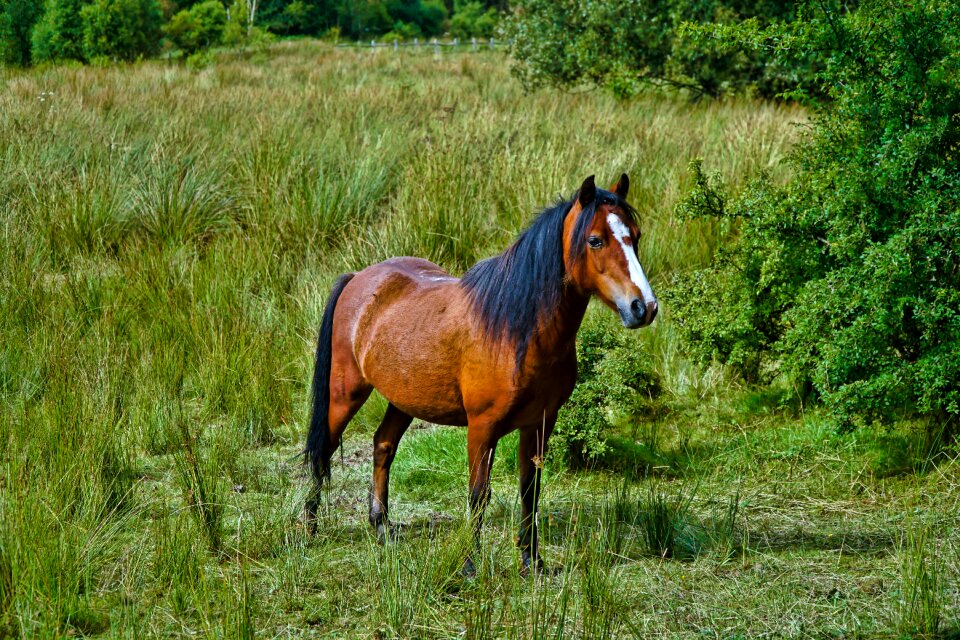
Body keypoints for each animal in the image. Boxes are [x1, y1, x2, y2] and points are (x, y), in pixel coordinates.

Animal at [304, 172, 656, 572]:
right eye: (595, 240)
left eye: (635, 236)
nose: (643, 307)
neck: (517, 328)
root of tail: (358, 278)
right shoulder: (482, 428)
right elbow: (478, 494)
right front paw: (470, 565)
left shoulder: (540, 423)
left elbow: (530, 490)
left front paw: (531, 560)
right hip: (345, 394)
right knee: (323, 450)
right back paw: (311, 529)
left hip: (404, 399)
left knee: (383, 446)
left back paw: (380, 527)